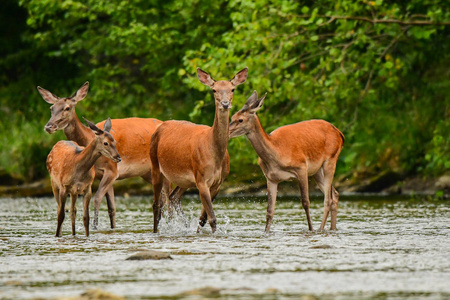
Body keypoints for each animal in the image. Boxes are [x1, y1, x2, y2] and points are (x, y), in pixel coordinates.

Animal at [37, 82, 172, 230]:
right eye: (51, 108)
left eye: (67, 108)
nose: (49, 126)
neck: (89, 138)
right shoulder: (103, 174)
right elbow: (111, 208)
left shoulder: (112, 169)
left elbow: (97, 199)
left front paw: (95, 227)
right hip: (146, 172)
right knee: (163, 197)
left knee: (169, 196)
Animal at [151, 67, 250, 233]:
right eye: (214, 90)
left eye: (232, 89)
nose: (225, 104)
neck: (215, 155)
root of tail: (160, 126)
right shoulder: (202, 179)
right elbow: (212, 218)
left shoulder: (218, 182)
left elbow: (203, 218)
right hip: (155, 165)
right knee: (157, 204)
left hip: (184, 179)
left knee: (173, 197)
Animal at [230, 91, 342, 232]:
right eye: (231, 117)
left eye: (240, 119)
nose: (226, 131)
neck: (277, 154)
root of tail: (340, 133)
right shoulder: (271, 178)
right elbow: (269, 211)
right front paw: (266, 232)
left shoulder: (301, 167)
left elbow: (305, 202)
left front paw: (310, 229)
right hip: (317, 171)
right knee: (334, 194)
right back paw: (332, 228)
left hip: (331, 159)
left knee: (327, 199)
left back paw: (320, 229)